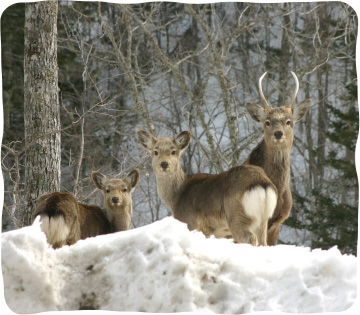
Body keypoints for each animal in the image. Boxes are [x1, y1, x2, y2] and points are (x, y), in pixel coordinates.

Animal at [136, 129, 278, 247]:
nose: (164, 164)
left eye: (173, 151)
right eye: (155, 152)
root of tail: (262, 183)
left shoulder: (191, 223)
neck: (176, 198)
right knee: (264, 243)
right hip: (263, 220)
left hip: (237, 215)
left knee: (250, 238)